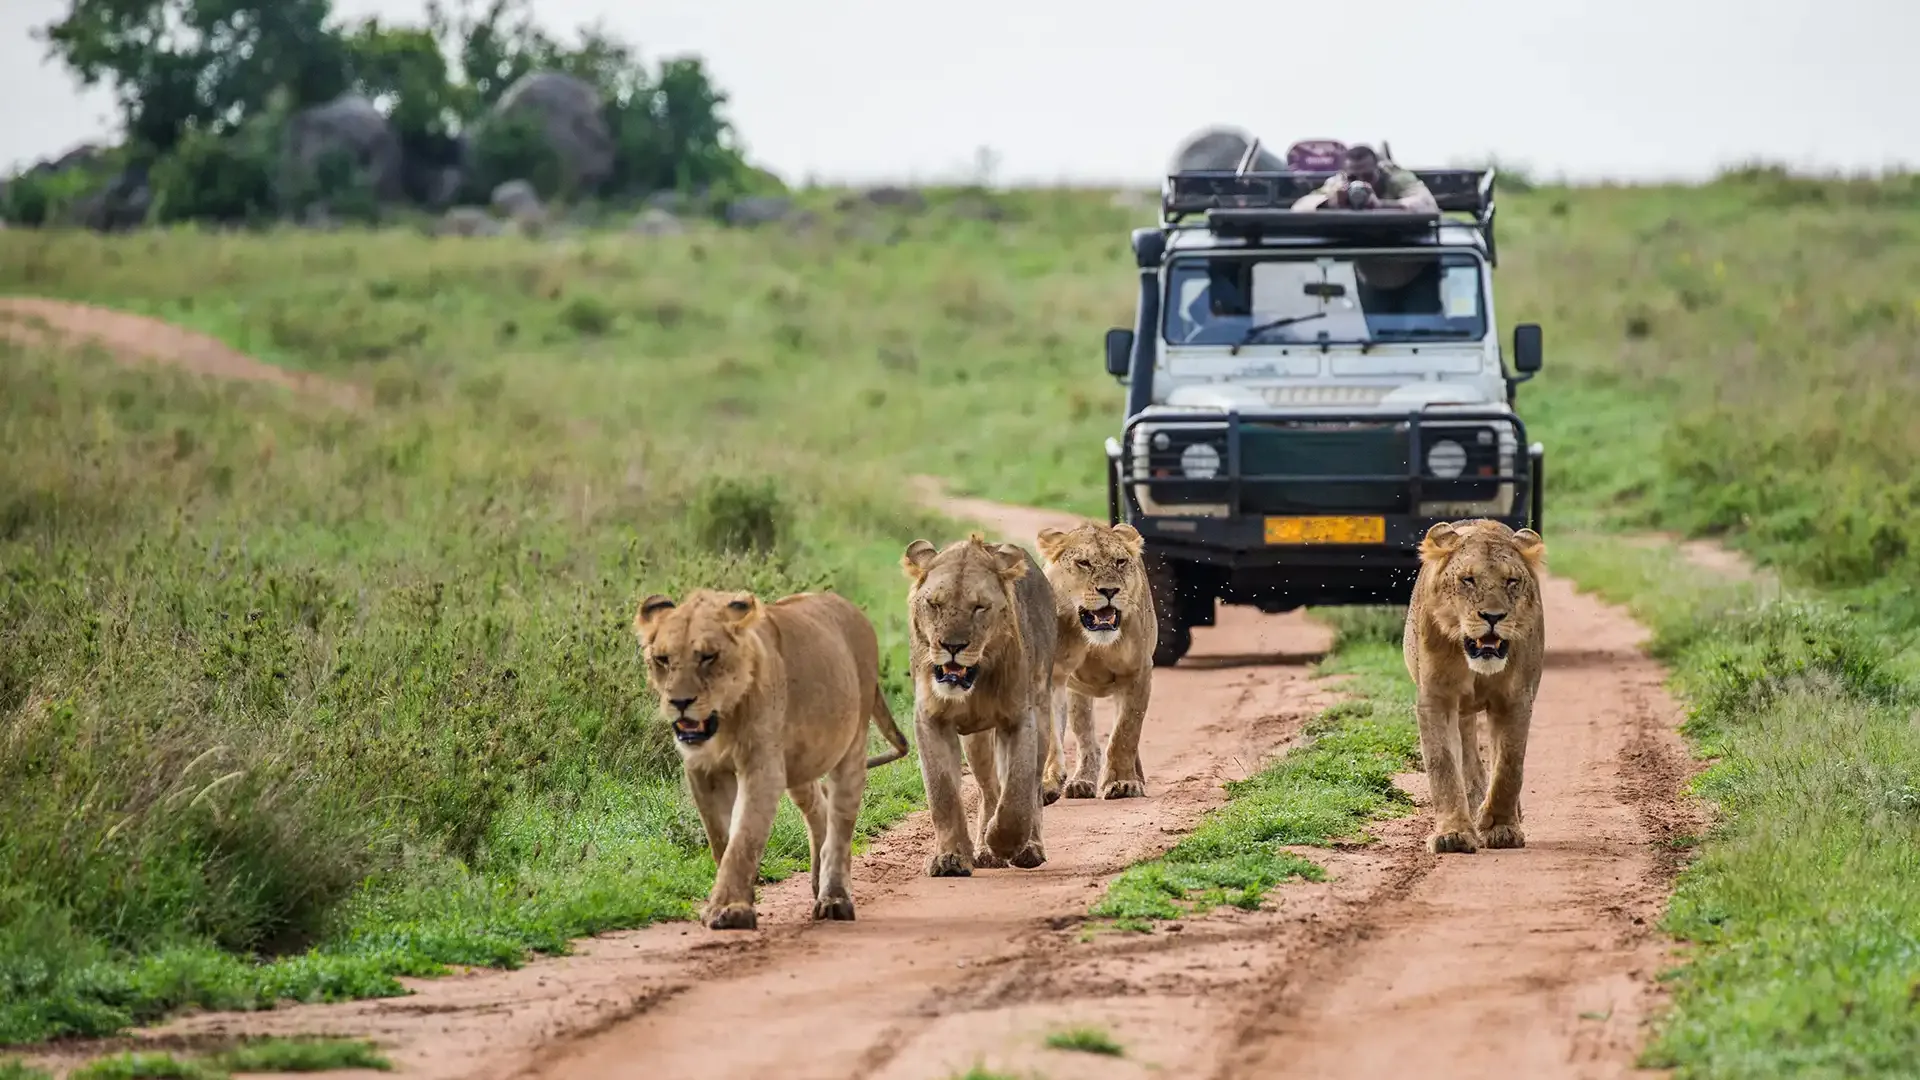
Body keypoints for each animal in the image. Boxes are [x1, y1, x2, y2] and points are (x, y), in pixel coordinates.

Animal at [634, 588, 909, 930]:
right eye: (662, 659)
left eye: (708, 657)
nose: (680, 702)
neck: (725, 720)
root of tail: (851, 608)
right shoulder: (701, 770)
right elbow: (721, 838)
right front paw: (738, 901)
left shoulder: (763, 768)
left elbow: (744, 838)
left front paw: (729, 909)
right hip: (800, 763)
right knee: (818, 808)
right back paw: (818, 882)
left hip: (851, 745)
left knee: (840, 825)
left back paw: (834, 898)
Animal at [901, 533, 1058, 877]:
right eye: (935, 604)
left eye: (979, 607)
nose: (952, 646)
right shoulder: (930, 720)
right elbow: (943, 793)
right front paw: (951, 857)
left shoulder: (1020, 719)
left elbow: (1018, 792)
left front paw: (1005, 843)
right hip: (977, 741)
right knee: (989, 789)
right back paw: (985, 851)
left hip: (1042, 715)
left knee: (1032, 788)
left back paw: (1027, 848)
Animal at [1034, 521, 1157, 802]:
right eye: (1083, 563)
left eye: (1120, 561)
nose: (1110, 590)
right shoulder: (1052, 677)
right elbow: (1051, 736)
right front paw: (1048, 783)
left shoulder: (1138, 673)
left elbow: (1125, 733)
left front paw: (1123, 782)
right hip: (1077, 695)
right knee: (1086, 739)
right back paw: (1081, 782)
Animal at [1401, 519, 1547, 855]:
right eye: (1468, 580)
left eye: (1511, 581)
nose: (1493, 617)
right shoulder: (1436, 698)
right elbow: (1442, 764)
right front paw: (1453, 834)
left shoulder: (1515, 699)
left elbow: (1508, 766)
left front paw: (1501, 827)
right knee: (1467, 754)